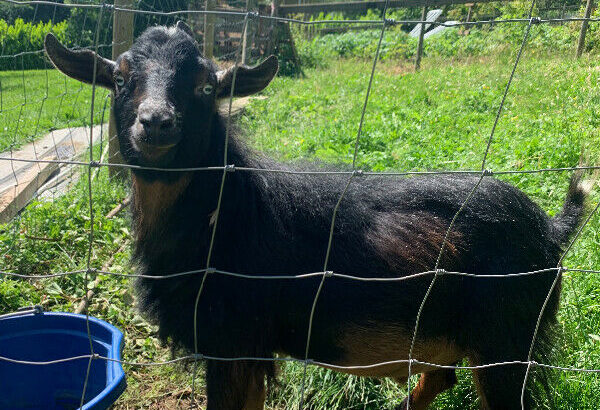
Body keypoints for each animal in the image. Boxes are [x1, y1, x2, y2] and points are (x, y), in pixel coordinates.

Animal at [48, 23, 592, 410]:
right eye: (120, 79)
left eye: (204, 87)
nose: (156, 123)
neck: (226, 214)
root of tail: (551, 230)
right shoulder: (251, 347)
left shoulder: (235, 338)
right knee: (438, 377)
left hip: (509, 342)